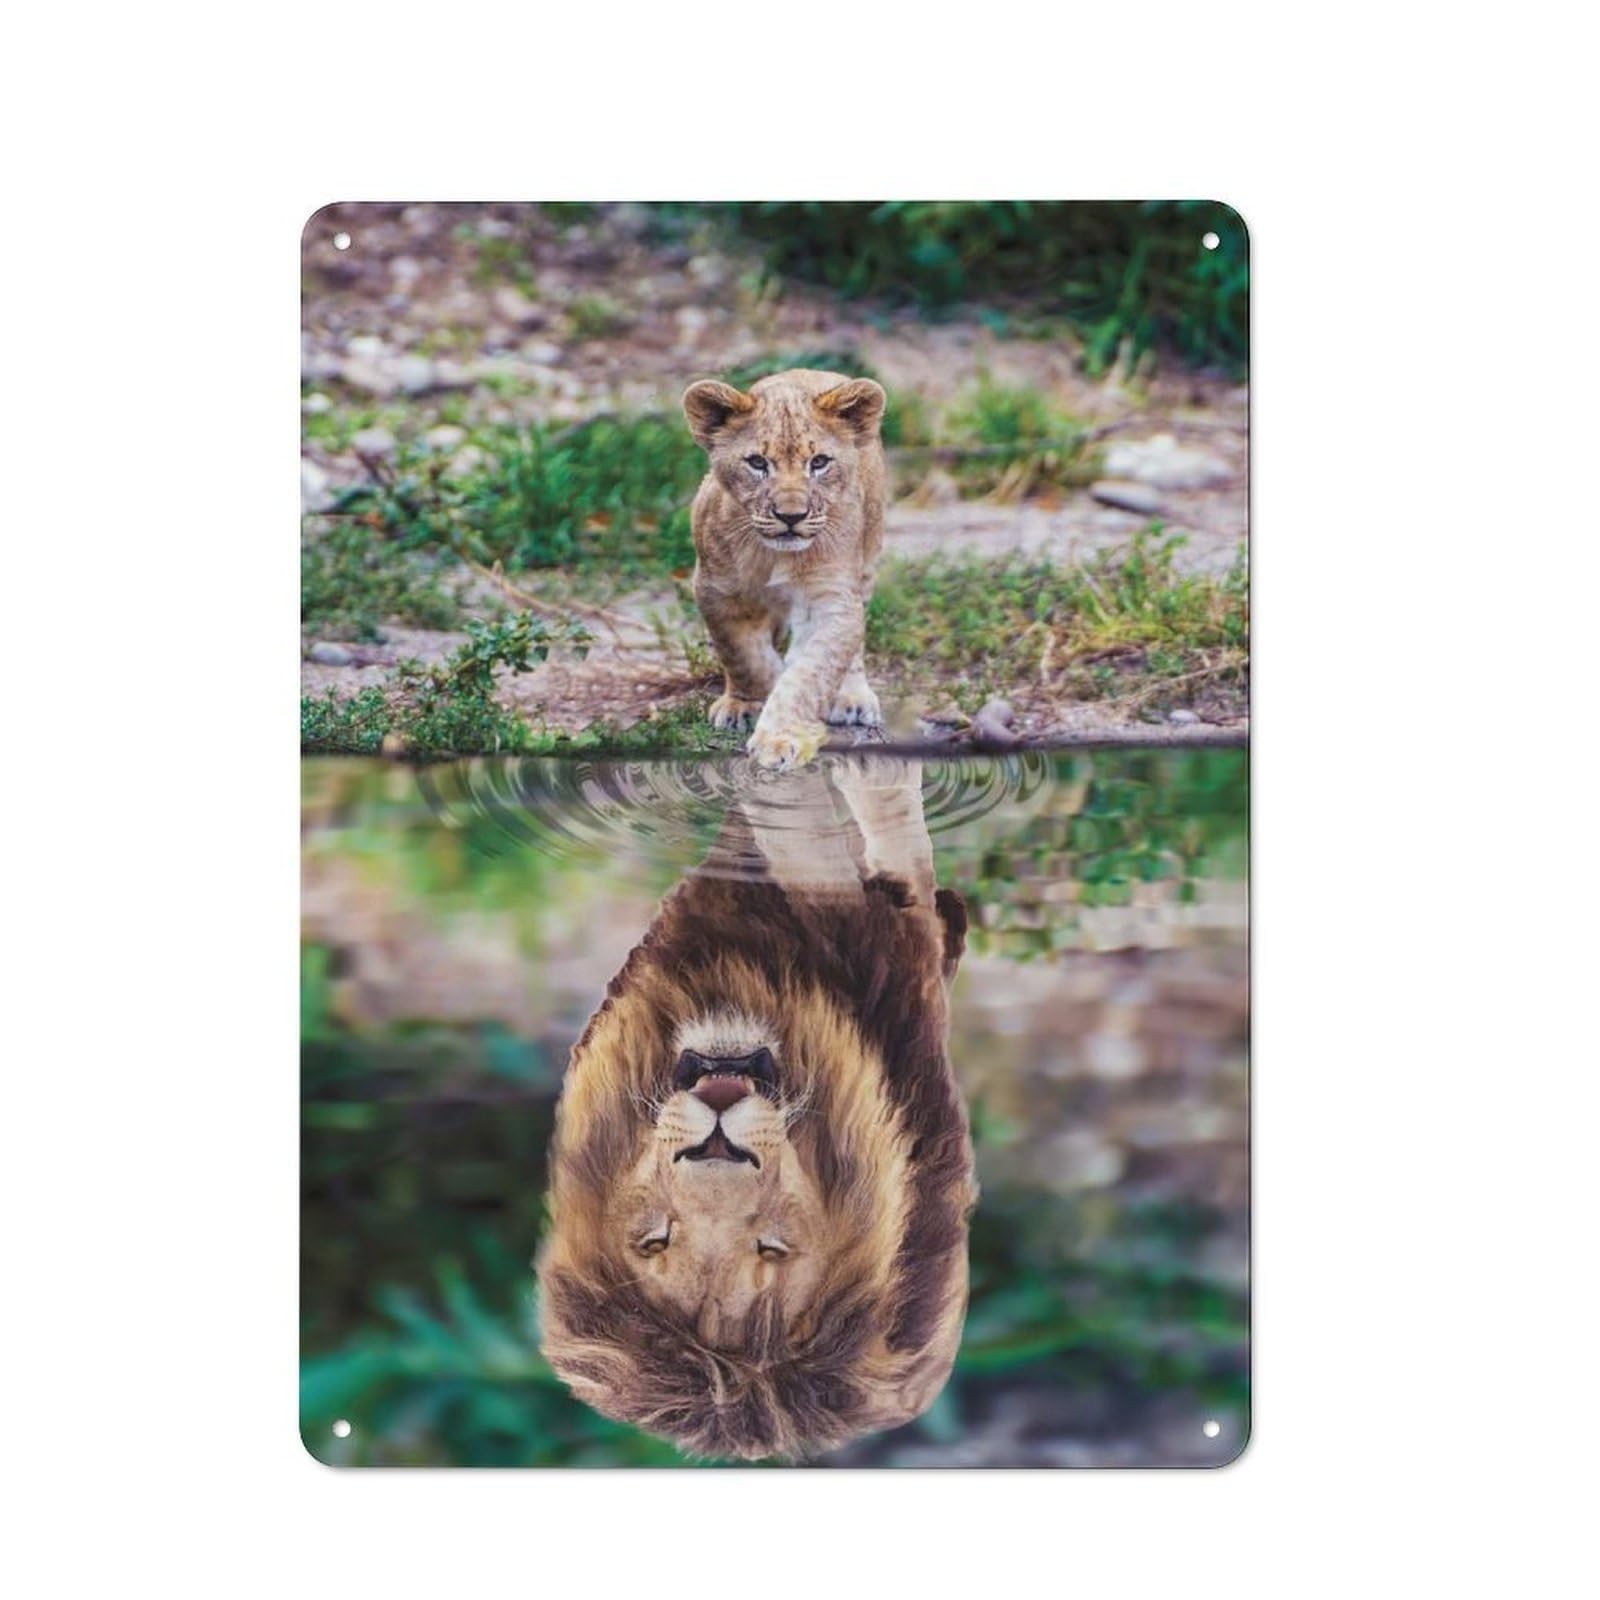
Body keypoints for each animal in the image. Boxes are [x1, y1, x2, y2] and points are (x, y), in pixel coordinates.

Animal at [681, 368, 888, 772]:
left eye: (819, 462)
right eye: (758, 463)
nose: (791, 516)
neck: (774, 557)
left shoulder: (832, 598)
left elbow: (811, 672)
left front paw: (779, 738)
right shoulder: (716, 590)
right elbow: (745, 657)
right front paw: (747, 702)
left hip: (868, 559)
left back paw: (853, 697)